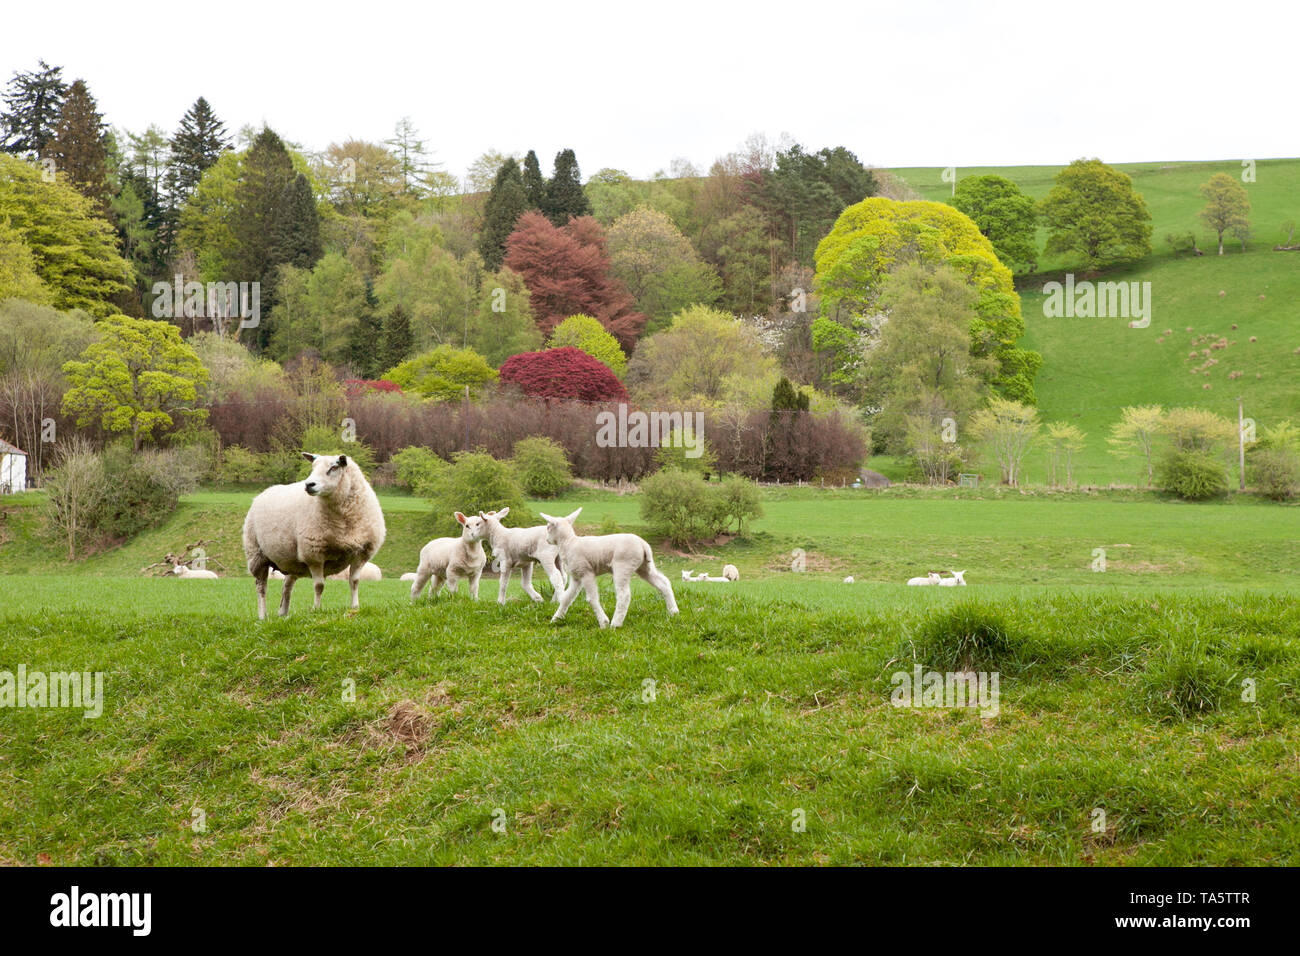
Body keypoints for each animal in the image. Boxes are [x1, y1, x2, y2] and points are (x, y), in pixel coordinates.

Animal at [243, 455, 384, 621]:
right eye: (313, 467)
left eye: (334, 467)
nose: (309, 484)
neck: (344, 521)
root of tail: (262, 493)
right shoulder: (314, 554)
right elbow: (319, 586)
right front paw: (316, 609)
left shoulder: (361, 553)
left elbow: (354, 582)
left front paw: (355, 607)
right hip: (256, 555)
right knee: (261, 587)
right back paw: (262, 616)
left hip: (291, 561)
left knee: (286, 586)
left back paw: (283, 613)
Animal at [538, 504, 681, 632]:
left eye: (548, 527)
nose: (547, 540)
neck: (568, 543)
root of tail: (643, 544)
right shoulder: (577, 577)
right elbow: (567, 598)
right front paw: (556, 619)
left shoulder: (586, 573)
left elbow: (592, 598)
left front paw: (603, 623)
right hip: (644, 566)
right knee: (663, 583)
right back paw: (674, 612)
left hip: (623, 565)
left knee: (624, 595)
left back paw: (615, 624)